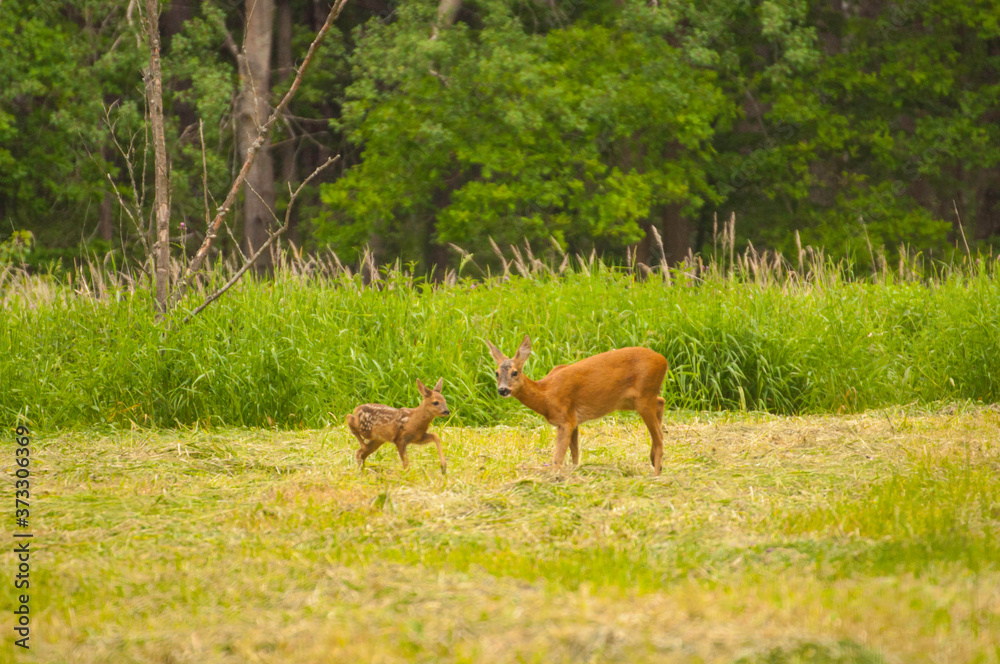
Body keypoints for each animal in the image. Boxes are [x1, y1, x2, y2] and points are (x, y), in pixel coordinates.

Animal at [486, 338, 668, 472]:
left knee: (659, 436)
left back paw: (656, 474)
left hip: (643, 397)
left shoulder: (565, 419)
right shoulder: (574, 420)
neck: (546, 395)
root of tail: (664, 360)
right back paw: (655, 462)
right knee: (661, 402)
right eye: (496, 373)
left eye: (514, 372)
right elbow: (574, 454)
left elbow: (558, 458)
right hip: (633, 400)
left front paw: (555, 478)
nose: (502, 389)